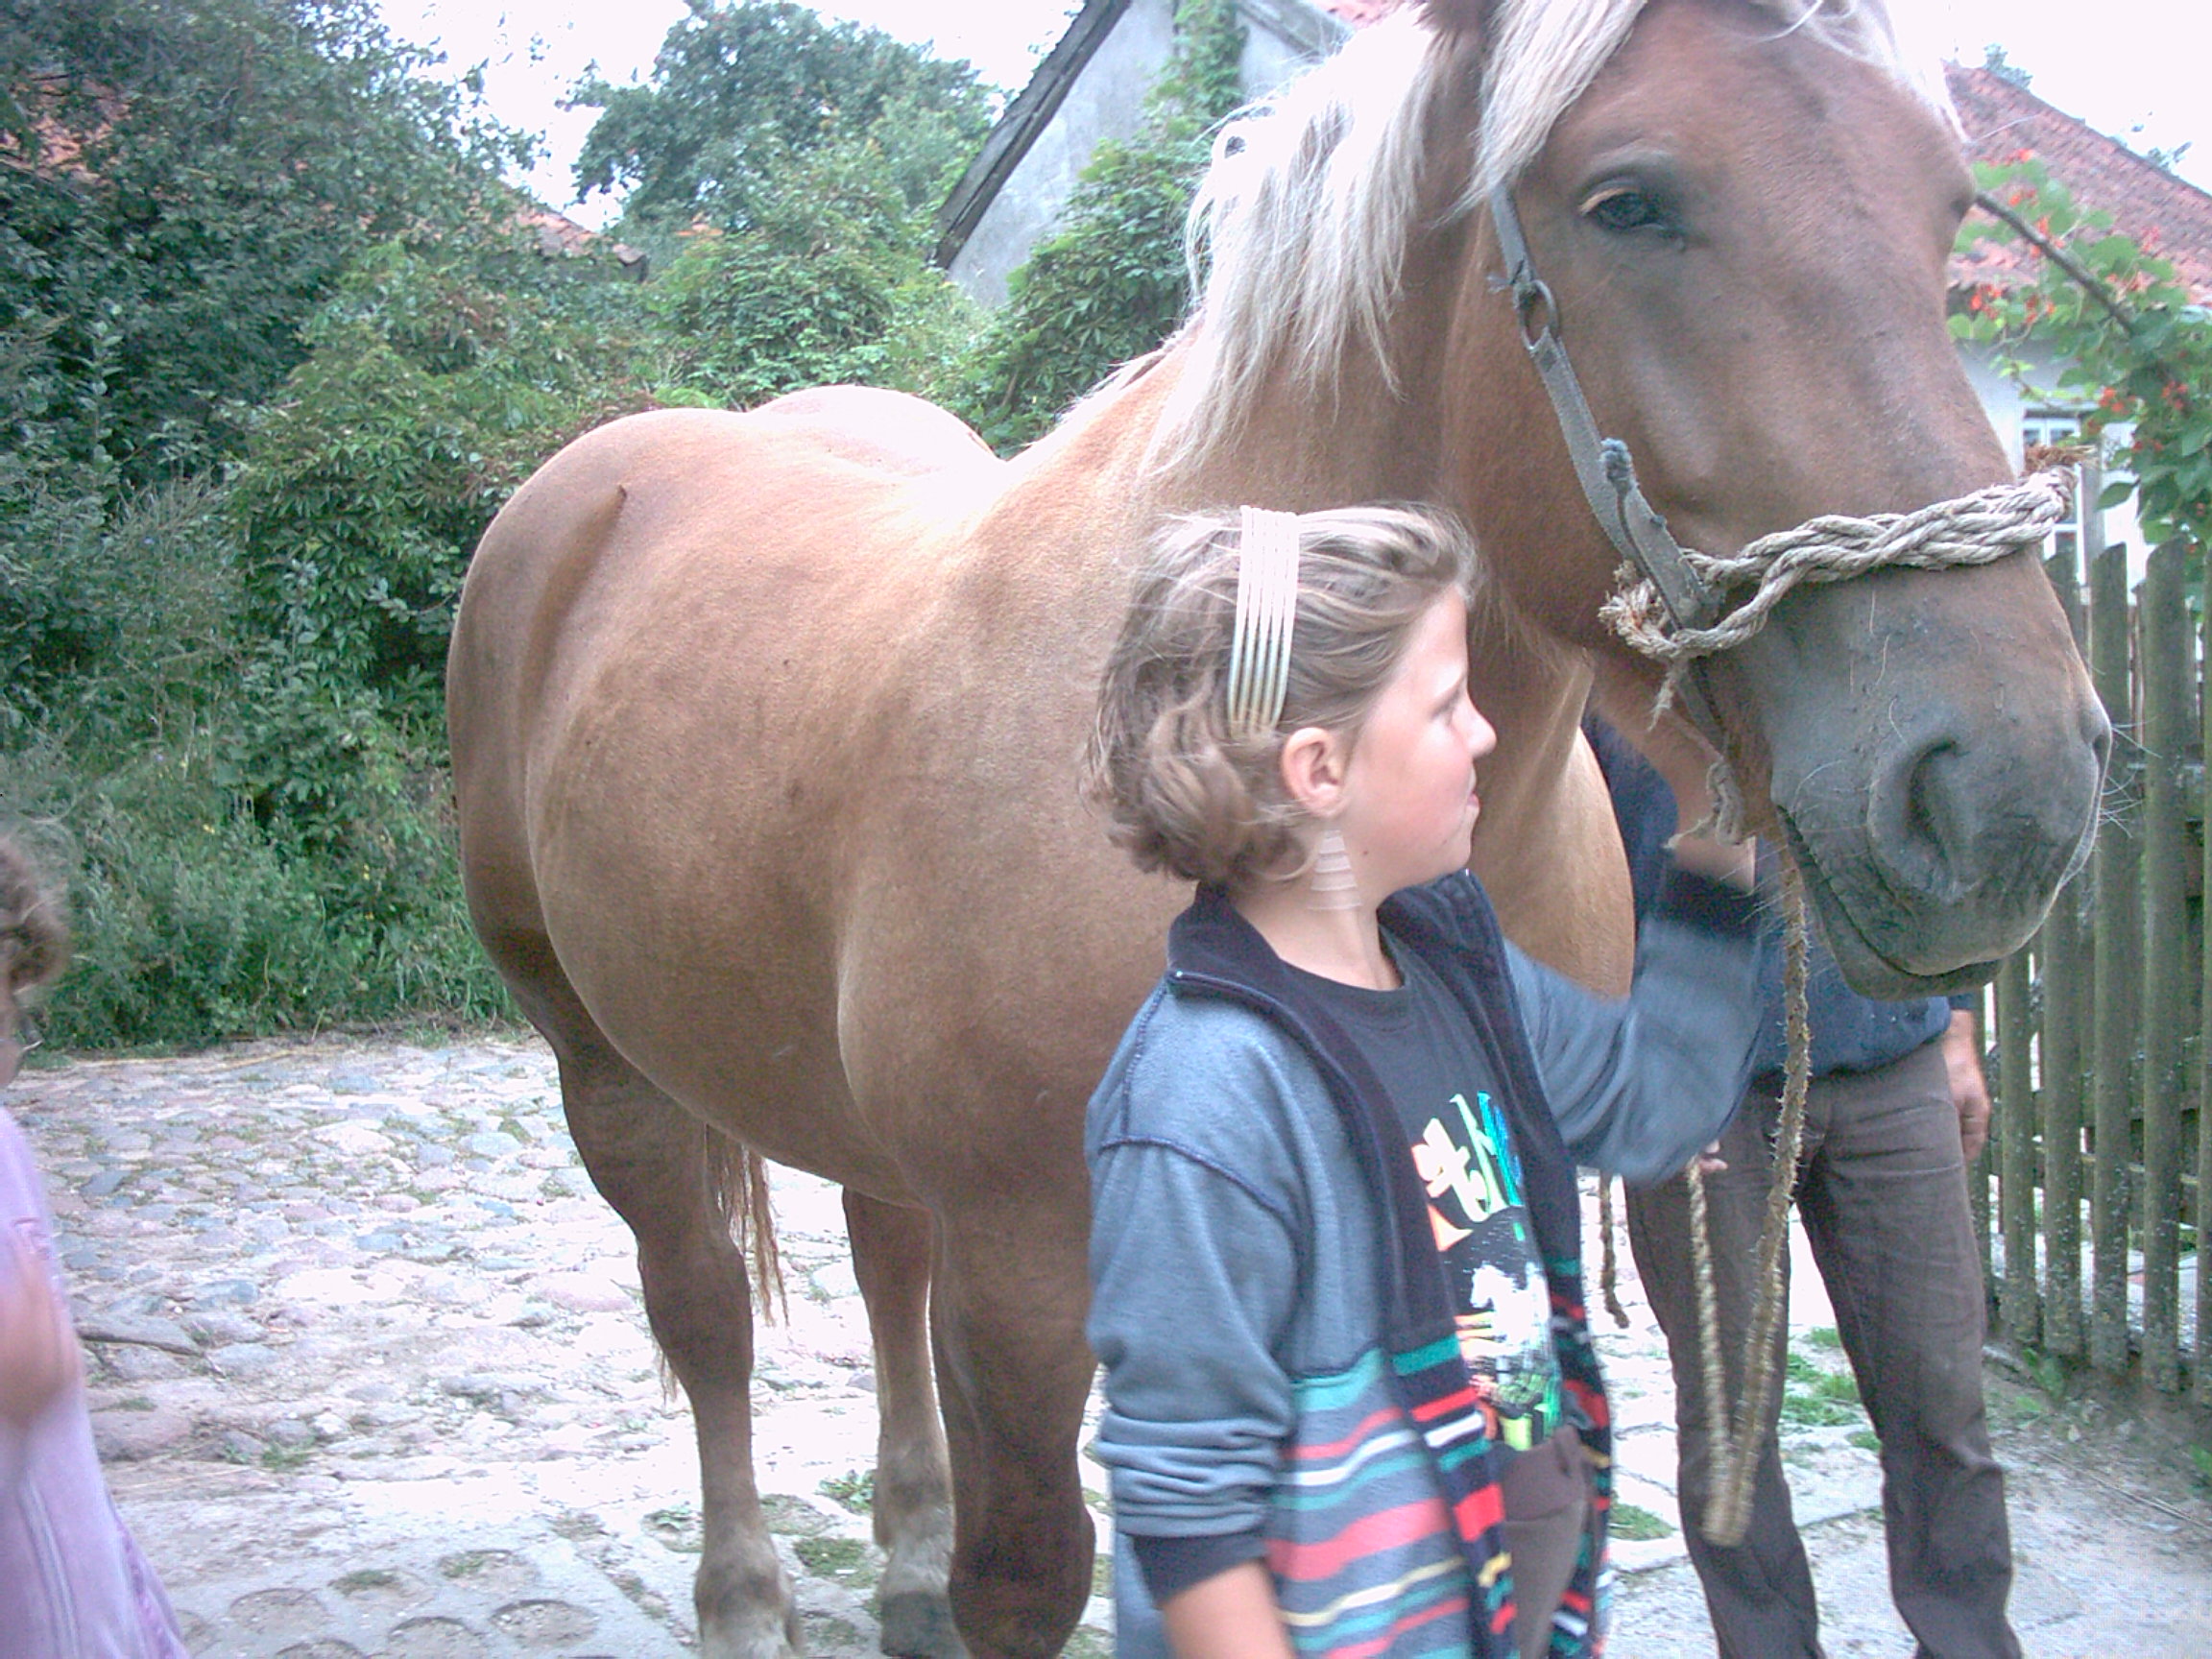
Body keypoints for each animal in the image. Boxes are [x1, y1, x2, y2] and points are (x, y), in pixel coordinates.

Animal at [446, 3, 2109, 1654]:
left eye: (1947, 207)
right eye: (1630, 201)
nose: (2008, 790)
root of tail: (590, 485)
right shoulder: (1028, 1279)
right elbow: (1033, 1571)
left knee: (875, 1255)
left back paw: (900, 1552)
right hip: (599, 1064)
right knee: (704, 1315)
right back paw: (741, 1596)